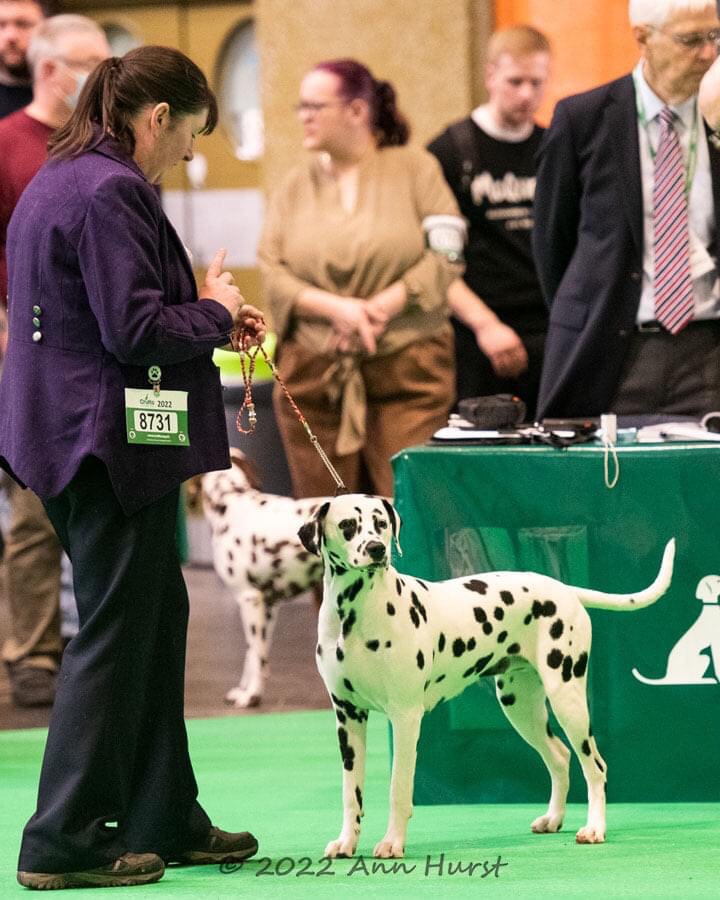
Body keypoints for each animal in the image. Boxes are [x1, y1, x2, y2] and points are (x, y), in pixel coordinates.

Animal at [199, 449, 326, 707]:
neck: (230, 502)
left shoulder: (249, 599)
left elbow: (258, 658)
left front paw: (251, 696)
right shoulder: (267, 606)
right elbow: (252, 654)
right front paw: (243, 690)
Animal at [298, 494, 675, 857]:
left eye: (381, 523)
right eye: (348, 525)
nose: (377, 549)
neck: (356, 613)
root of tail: (565, 589)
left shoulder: (405, 716)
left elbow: (398, 789)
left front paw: (392, 842)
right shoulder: (348, 717)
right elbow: (351, 794)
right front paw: (346, 843)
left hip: (567, 700)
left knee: (595, 766)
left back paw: (595, 828)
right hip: (520, 707)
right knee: (559, 756)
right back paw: (553, 819)